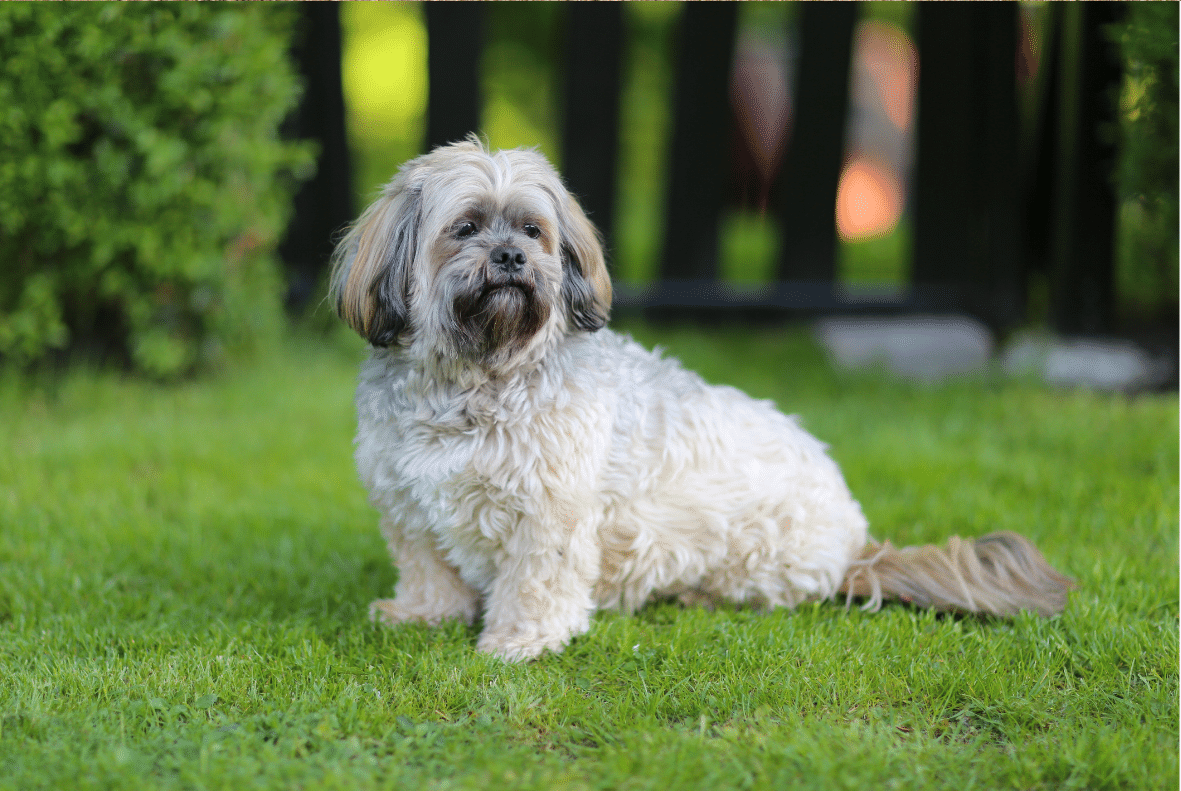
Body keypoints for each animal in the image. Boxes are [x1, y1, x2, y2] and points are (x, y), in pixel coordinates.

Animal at [328, 138, 1077, 661]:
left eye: (533, 231)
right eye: (465, 228)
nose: (511, 258)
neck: (473, 378)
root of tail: (856, 545)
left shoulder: (549, 515)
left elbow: (537, 582)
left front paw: (519, 641)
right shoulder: (407, 507)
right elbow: (429, 572)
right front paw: (421, 614)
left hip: (751, 551)